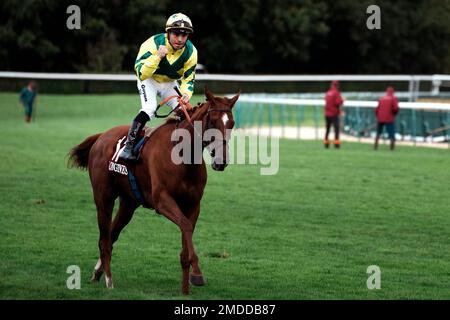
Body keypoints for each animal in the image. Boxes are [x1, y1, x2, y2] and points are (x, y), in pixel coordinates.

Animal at [67, 88, 239, 296]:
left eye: (231, 123)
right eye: (212, 122)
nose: (222, 161)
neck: (182, 155)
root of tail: (101, 136)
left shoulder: (193, 204)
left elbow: (187, 232)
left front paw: (186, 286)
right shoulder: (161, 200)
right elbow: (186, 226)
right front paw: (197, 273)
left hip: (129, 203)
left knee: (112, 234)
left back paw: (97, 273)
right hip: (104, 198)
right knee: (104, 240)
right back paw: (108, 280)